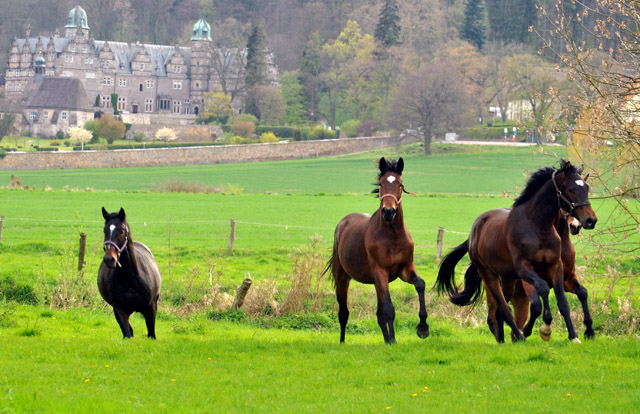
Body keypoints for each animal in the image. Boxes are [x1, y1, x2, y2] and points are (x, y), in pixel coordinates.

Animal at [99, 207, 162, 340]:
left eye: (122, 231)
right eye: (105, 230)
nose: (109, 259)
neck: (130, 277)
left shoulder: (151, 309)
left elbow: (151, 334)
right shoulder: (119, 310)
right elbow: (127, 334)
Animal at [324, 157, 430, 344]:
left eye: (400, 184)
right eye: (381, 183)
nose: (388, 212)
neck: (392, 236)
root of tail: (343, 223)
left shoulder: (405, 269)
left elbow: (420, 284)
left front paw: (423, 328)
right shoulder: (381, 271)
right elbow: (389, 309)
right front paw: (394, 340)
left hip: (375, 282)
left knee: (379, 315)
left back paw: (386, 340)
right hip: (343, 278)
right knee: (343, 312)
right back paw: (343, 341)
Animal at [484, 209, 596, 342]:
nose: (575, 226)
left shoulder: (566, 279)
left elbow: (582, 293)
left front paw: (589, 331)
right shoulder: (530, 281)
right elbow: (536, 306)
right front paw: (534, 331)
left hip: (520, 300)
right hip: (494, 290)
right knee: (492, 316)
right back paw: (502, 337)